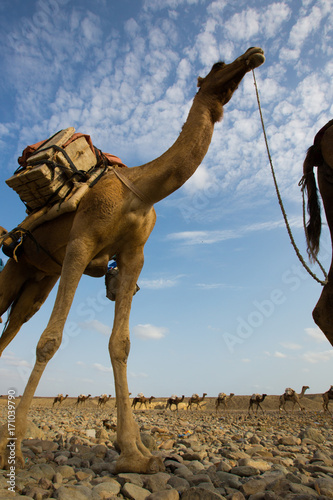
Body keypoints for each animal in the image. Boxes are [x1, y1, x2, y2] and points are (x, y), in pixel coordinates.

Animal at [0, 47, 264, 472]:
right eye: (217, 66)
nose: (253, 54)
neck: (139, 191)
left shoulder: (132, 258)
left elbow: (120, 345)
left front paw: (135, 454)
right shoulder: (81, 242)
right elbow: (49, 341)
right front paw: (18, 450)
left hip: (38, 275)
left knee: (16, 322)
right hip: (16, 264)